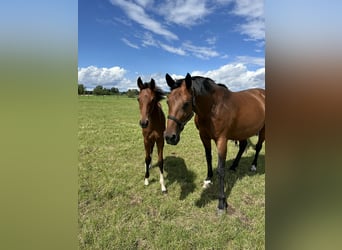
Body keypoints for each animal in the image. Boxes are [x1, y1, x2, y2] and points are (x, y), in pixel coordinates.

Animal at [164, 72, 266, 213]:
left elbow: (220, 169)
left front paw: (222, 203)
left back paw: (253, 166)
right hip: (243, 131)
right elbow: (208, 157)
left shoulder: (222, 140)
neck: (213, 108)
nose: (170, 137)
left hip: (262, 129)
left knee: (258, 147)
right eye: (168, 101)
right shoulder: (204, 137)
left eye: (186, 103)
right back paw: (234, 166)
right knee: (243, 146)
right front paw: (208, 179)